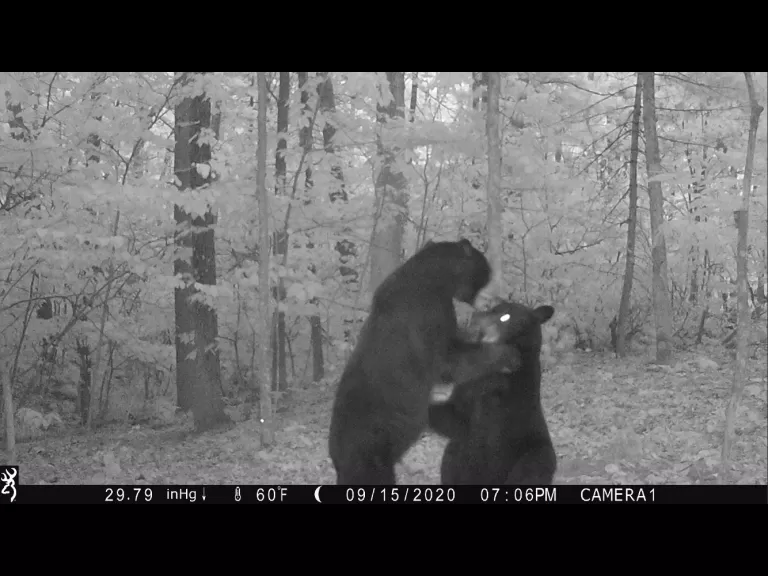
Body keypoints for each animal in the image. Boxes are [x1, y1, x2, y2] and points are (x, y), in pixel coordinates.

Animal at [328, 239, 516, 485]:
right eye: (487, 271)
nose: (497, 298)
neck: (436, 278)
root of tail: (337, 457)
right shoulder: (429, 312)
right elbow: (448, 359)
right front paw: (505, 352)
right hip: (371, 453)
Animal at [428, 301, 557, 485]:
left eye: (505, 316)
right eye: (491, 309)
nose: (475, 318)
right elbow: (453, 413)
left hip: (534, 451)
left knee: (531, 468)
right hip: (460, 453)